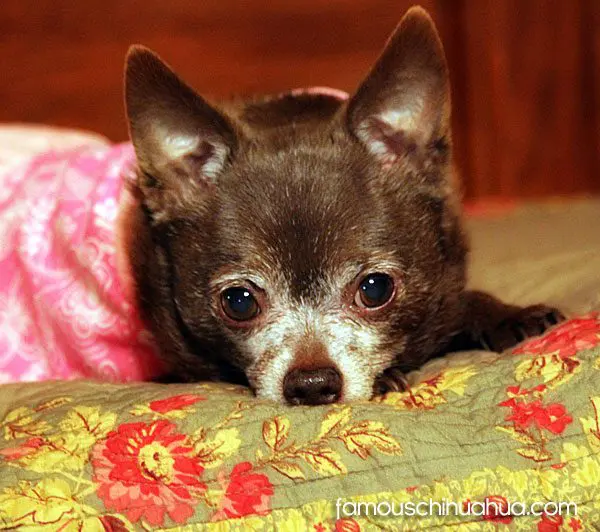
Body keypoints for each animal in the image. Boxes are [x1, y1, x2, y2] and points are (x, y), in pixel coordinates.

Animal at [120, 5, 564, 404]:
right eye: (239, 302)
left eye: (375, 288)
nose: (312, 384)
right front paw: (388, 377)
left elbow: (457, 303)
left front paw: (508, 313)